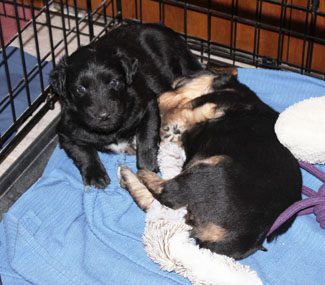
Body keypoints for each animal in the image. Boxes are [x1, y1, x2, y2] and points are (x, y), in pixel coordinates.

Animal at [49, 23, 201, 187]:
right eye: (80, 89)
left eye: (114, 82)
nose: (104, 115)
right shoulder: (66, 131)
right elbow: (82, 152)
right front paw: (95, 175)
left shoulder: (148, 104)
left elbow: (147, 135)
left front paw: (147, 166)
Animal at [119, 69, 302, 260]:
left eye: (178, 84)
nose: (158, 97)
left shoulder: (210, 103)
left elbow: (186, 109)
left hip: (215, 166)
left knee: (167, 193)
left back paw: (139, 174)